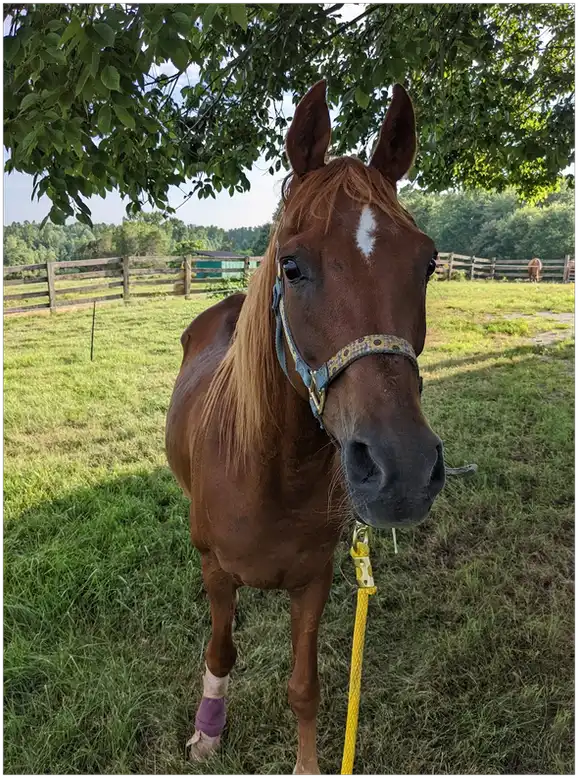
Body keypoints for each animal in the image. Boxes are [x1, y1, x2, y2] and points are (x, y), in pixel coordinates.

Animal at [165, 80, 446, 775]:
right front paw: (208, 733)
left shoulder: (315, 580)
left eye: (428, 264)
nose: (402, 469)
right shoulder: (215, 569)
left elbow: (305, 686)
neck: (270, 473)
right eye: (291, 266)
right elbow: (220, 651)